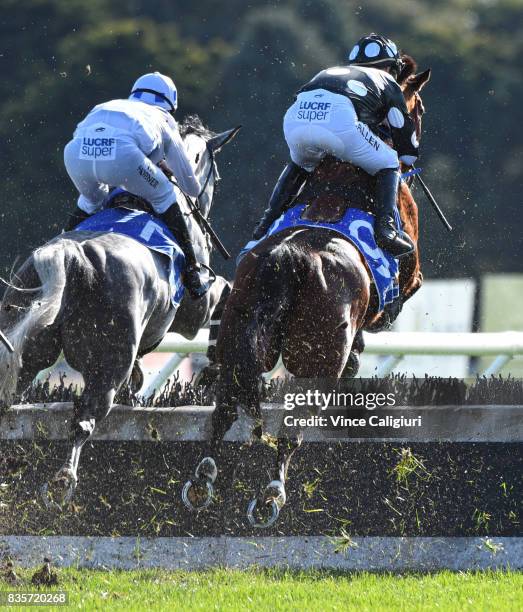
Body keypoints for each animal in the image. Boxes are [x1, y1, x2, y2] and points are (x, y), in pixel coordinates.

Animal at [0, 116, 239, 506]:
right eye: (214, 176)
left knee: (9, 398)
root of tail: (73, 256)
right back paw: (62, 482)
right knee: (85, 419)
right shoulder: (194, 310)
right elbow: (224, 293)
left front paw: (141, 379)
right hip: (107, 364)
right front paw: (212, 367)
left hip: (29, 350)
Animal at [183, 56, 430, 524]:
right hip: (315, 357)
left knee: (226, 403)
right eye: (419, 109)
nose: (413, 156)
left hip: (241, 330)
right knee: (293, 425)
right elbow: (389, 308)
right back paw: (271, 494)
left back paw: (203, 478)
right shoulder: (407, 282)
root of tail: (290, 256)